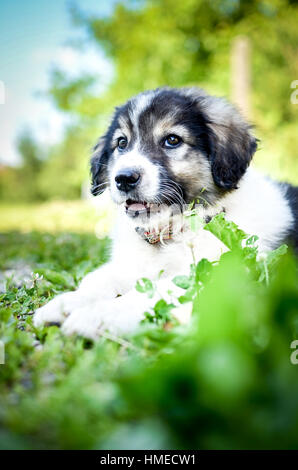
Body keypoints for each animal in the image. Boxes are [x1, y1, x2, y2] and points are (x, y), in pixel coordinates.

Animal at [33, 87, 298, 338]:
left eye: (172, 140)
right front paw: (65, 303)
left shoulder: (216, 272)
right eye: (121, 143)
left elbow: (156, 290)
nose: (124, 178)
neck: (171, 231)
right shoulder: (131, 266)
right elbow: (99, 278)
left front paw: (99, 315)